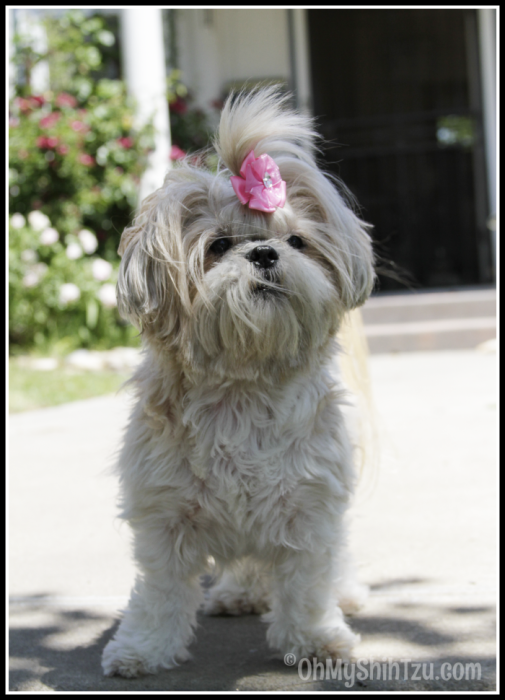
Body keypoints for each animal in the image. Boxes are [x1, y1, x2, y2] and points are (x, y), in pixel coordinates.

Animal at [101, 87, 374, 680]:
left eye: (296, 240)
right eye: (220, 245)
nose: (265, 252)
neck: (242, 389)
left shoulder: (310, 508)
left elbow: (308, 584)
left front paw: (316, 639)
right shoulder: (163, 515)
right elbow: (160, 591)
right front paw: (144, 647)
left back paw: (346, 593)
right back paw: (238, 592)